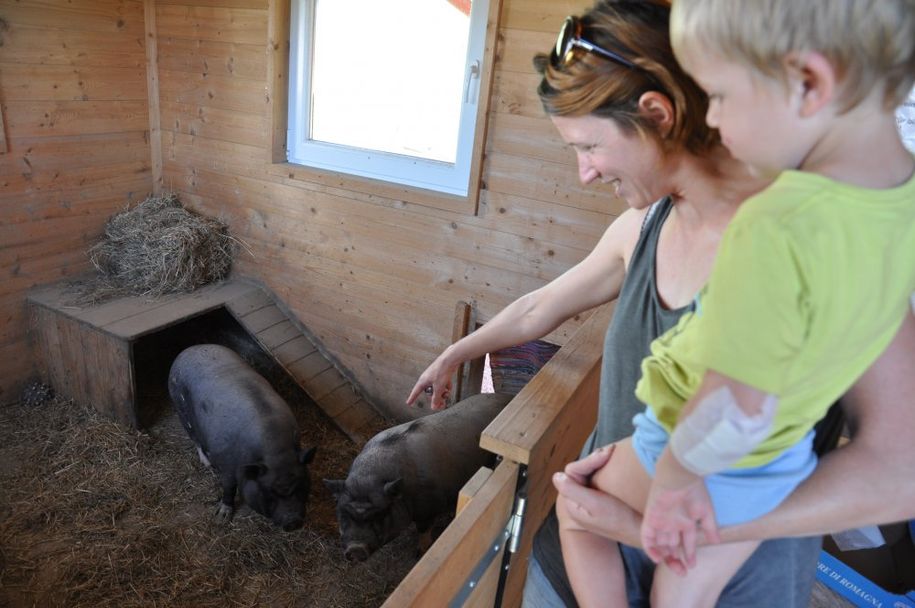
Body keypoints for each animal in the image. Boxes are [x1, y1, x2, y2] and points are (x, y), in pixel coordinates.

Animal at [170, 344, 316, 528]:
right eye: (269, 492)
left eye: (301, 486)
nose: (293, 521)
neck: (276, 452)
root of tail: (189, 349)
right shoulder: (226, 465)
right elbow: (229, 488)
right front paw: (221, 518)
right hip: (181, 409)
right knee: (195, 439)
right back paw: (207, 463)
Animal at [324, 392, 512, 564]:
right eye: (343, 512)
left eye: (380, 514)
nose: (355, 549)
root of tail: (506, 396)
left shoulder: (430, 507)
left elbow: (424, 531)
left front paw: (419, 555)